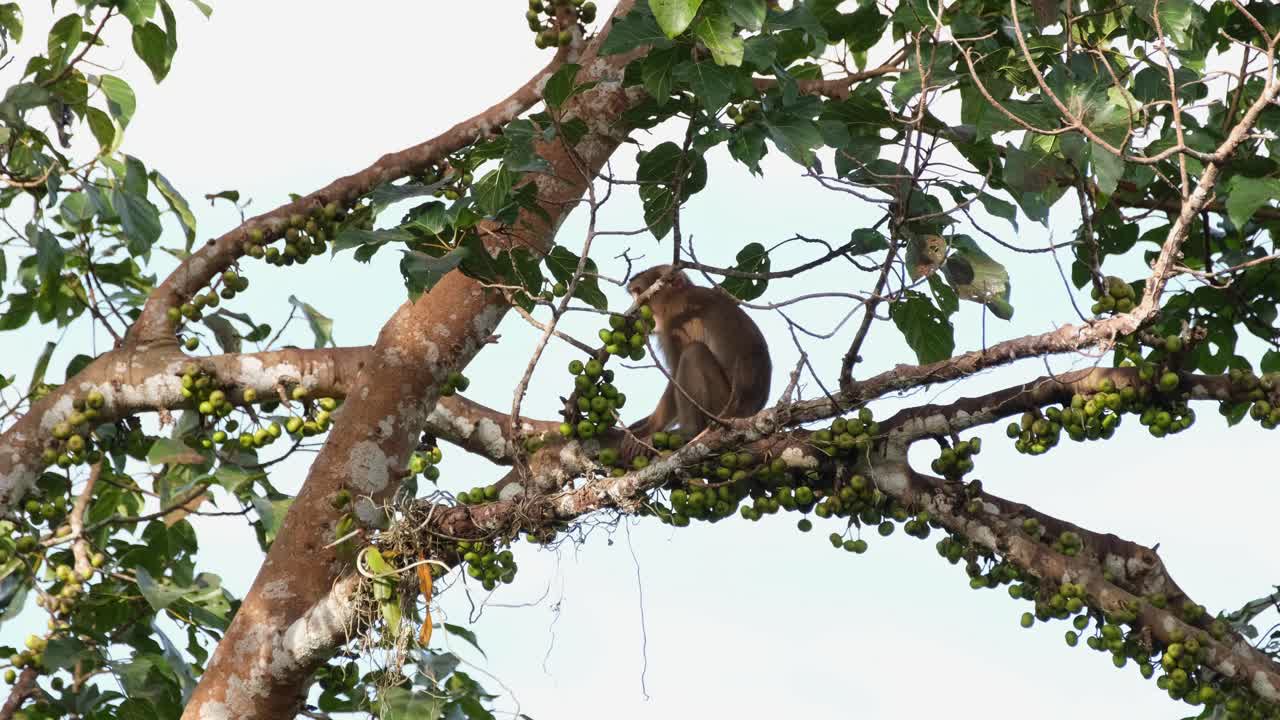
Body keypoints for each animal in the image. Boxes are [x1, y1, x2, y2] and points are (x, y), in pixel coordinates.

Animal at [619, 265, 771, 461]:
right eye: (634, 294)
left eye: (640, 293)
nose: (634, 310)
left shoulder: (678, 321)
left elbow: (675, 375)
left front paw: (649, 428)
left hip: (720, 408)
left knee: (693, 352)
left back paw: (689, 432)